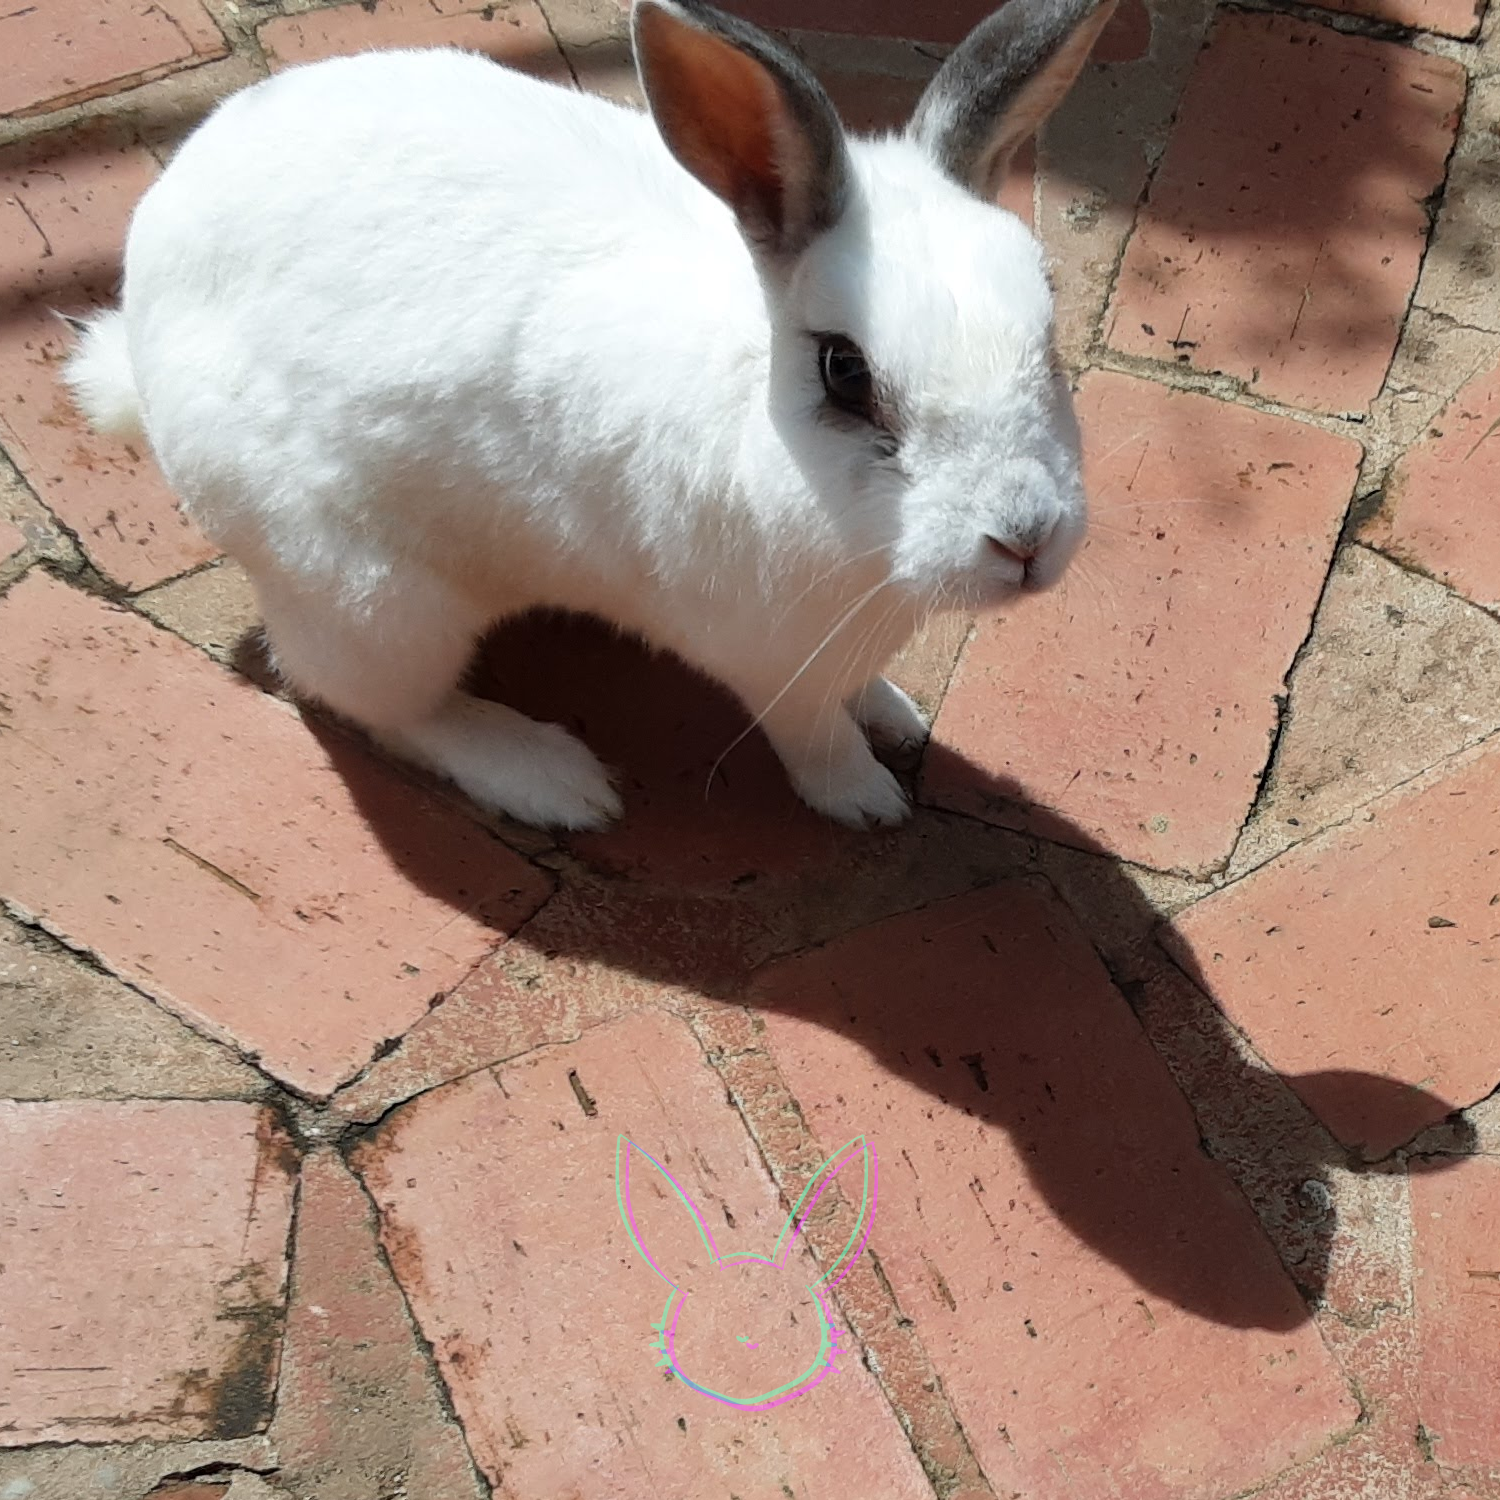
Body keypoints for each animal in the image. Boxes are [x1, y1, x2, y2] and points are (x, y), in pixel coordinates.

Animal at [64, 0, 1115, 832]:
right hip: (374, 604)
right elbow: (813, 736)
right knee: (372, 704)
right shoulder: (767, 662)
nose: (1024, 537)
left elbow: (860, 696)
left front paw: (897, 713)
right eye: (845, 373)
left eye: (1050, 333)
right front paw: (866, 799)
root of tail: (142, 326)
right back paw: (552, 780)